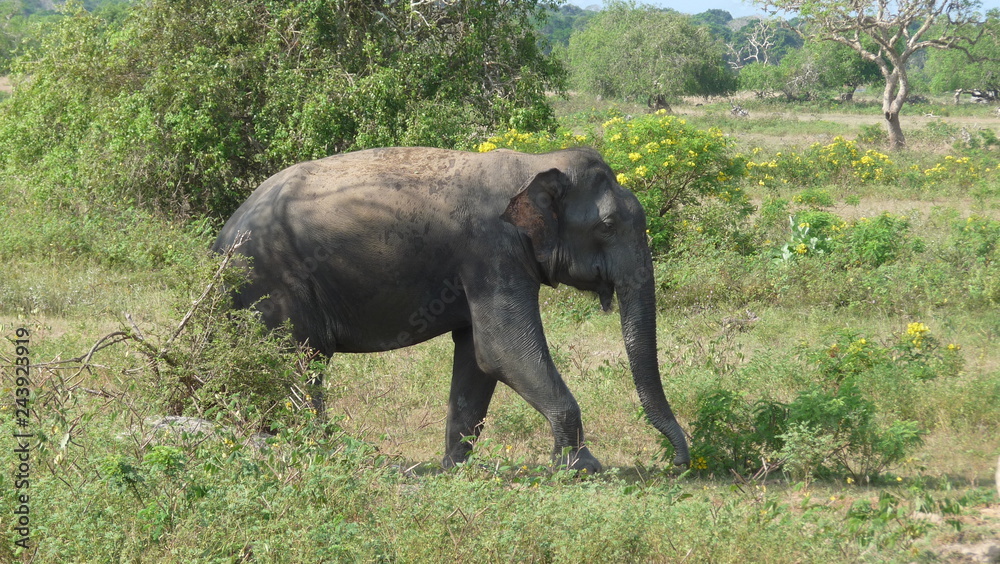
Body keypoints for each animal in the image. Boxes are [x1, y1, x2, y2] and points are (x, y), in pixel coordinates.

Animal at [212, 146, 690, 472]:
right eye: (607, 225)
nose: (680, 461)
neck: (534, 163)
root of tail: (222, 238)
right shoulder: (491, 251)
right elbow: (502, 350)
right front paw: (583, 469)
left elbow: (478, 359)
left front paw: (455, 469)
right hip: (273, 281)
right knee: (298, 362)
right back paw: (316, 454)